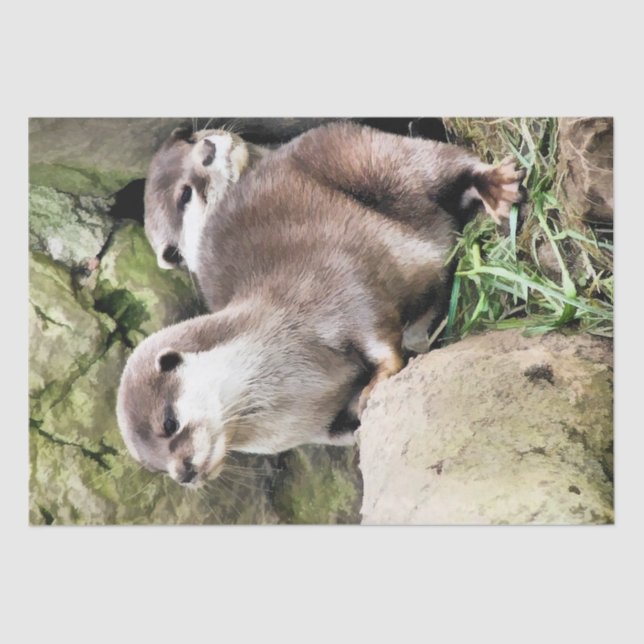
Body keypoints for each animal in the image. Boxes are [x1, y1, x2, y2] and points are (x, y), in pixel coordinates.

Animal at [118, 121, 525, 487]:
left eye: (169, 424)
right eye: (157, 467)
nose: (185, 473)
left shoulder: (334, 285)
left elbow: (375, 326)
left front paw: (379, 380)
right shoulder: (312, 428)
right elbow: (343, 430)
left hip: (363, 156)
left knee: (436, 164)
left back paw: (495, 185)